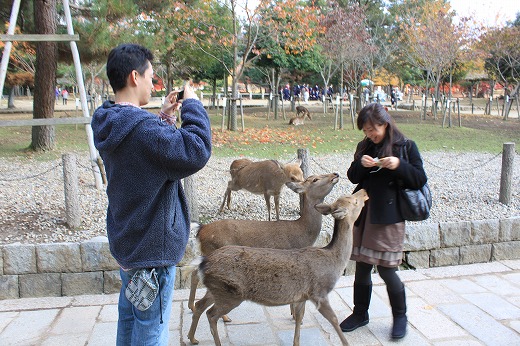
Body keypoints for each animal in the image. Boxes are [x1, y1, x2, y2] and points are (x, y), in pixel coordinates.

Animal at [187, 189, 370, 346]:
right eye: (354, 201)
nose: (364, 192)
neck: (334, 261)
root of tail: (203, 261)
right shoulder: (319, 292)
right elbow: (333, 319)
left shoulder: (302, 295)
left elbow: (299, 317)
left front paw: (296, 342)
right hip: (230, 294)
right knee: (211, 315)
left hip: (217, 289)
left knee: (201, 305)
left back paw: (192, 337)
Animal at [189, 173, 340, 318]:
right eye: (315, 179)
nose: (335, 174)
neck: (302, 234)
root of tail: (201, 229)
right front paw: (294, 314)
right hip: (213, 251)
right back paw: (222, 316)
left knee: (194, 273)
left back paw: (193, 307)